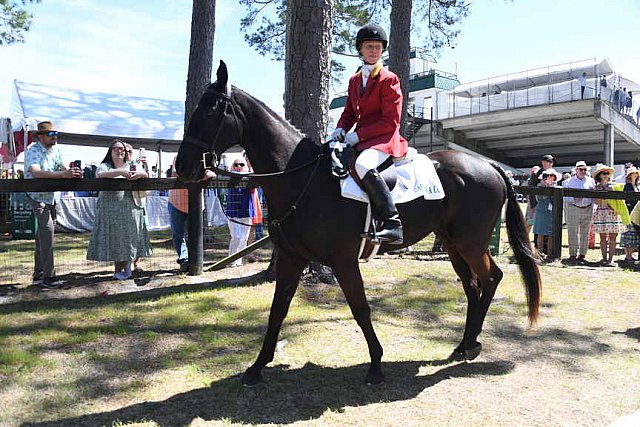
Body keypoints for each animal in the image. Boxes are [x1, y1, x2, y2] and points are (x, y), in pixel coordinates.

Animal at [175, 61, 540, 388]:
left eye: (211, 109)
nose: (183, 167)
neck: (303, 177)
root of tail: (490, 167)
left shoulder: (343, 260)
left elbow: (360, 309)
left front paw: (376, 366)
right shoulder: (292, 258)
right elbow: (277, 310)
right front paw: (256, 367)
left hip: (470, 243)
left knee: (490, 278)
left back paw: (471, 345)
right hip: (452, 243)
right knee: (472, 285)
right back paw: (464, 345)